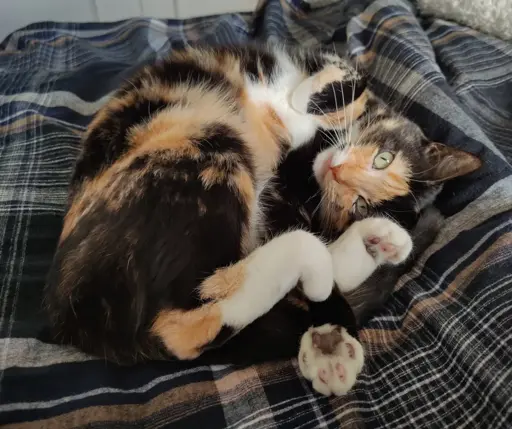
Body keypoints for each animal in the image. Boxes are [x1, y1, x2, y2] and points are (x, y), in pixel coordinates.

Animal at [44, 45, 480, 396]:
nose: (337, 172)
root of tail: (72, 320)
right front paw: (330, 341)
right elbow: (350, 73)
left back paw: (379, 242)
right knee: (184, 324)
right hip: (209, 144)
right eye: (383, 158)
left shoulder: (288, 194)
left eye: (358, 204)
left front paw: (330, 340)